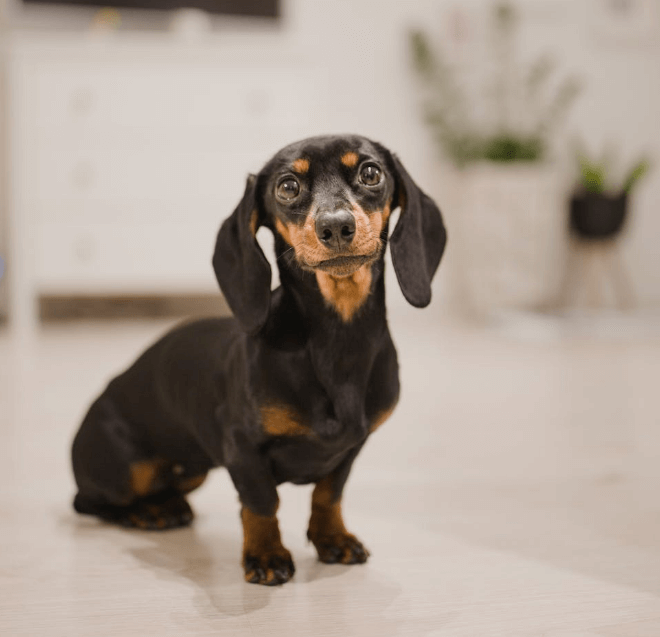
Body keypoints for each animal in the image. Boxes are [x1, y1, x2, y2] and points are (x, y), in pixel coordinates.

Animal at [69, 135, 446, 588]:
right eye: (287, 186)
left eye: (371, 173)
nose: (336, 226)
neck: (338, 341)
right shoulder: (241, 448)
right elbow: (262, 503)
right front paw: (266, 555)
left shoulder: (352, 446)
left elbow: (329, 494)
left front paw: (332, 539)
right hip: (127, 468)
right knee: (91, 501)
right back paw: (149, 512)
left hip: (192, 470)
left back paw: (169, 505)